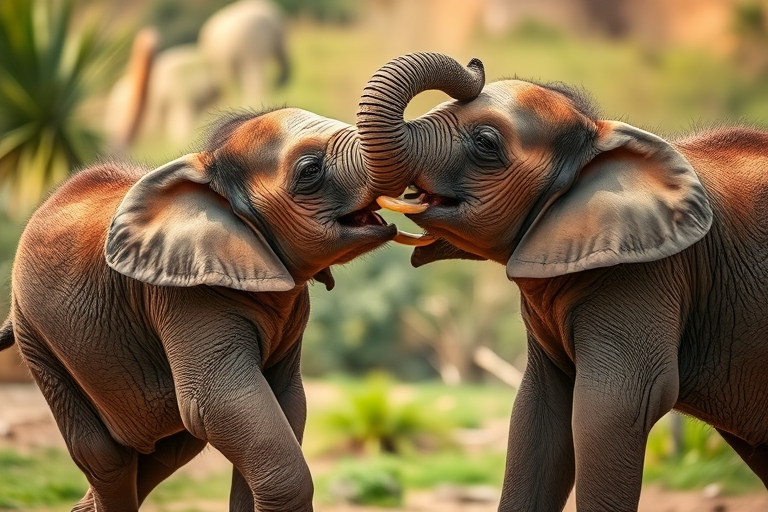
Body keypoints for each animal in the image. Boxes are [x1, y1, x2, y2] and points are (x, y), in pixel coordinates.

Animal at [0, 106, 425, 511]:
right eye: (310, 171)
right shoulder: (186, 295)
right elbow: (217, 403)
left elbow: (284, 399)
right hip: (37, 337)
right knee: (107, 457)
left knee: (168, 450)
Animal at [361, 52, 768, 510]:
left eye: (486, 143)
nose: (475, 63)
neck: (598, 137)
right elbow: (538, 412)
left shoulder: (646, 274)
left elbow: (613, 409)